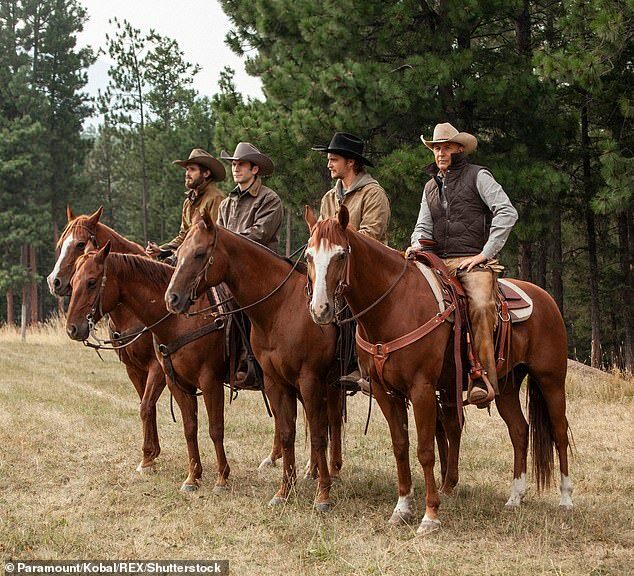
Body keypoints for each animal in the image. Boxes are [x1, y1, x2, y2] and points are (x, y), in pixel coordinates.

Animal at [65, 242, 232, 490]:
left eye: (92, 282)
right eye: (73, 281)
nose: (72, 328)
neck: (181, 318)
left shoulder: (198, 378)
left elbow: (210, 426)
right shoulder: (144, 372)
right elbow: (159, 412)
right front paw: (150, 458)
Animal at [163, 214, 340, 510]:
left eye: (199, 253)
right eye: (177, 255)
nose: (172, 298)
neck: (282, 307)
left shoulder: (309, 380)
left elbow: (317, 435)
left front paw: (323, 495)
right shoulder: (277, 382)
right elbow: (287, 432)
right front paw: (284, 491)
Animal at [304, 207, 572, 536]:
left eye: (341, 255)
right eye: (308, 256)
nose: (321, 309)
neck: (394, 305)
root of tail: (547, 300)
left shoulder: (421, 389)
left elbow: (425, 450)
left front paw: (430, 515)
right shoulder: (384, 391)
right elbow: (401, 446)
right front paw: (402, 508)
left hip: (551, 381)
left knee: (559, 431)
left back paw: (566, 499)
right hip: (506, 386)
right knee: (520, 431)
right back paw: (515, 497)